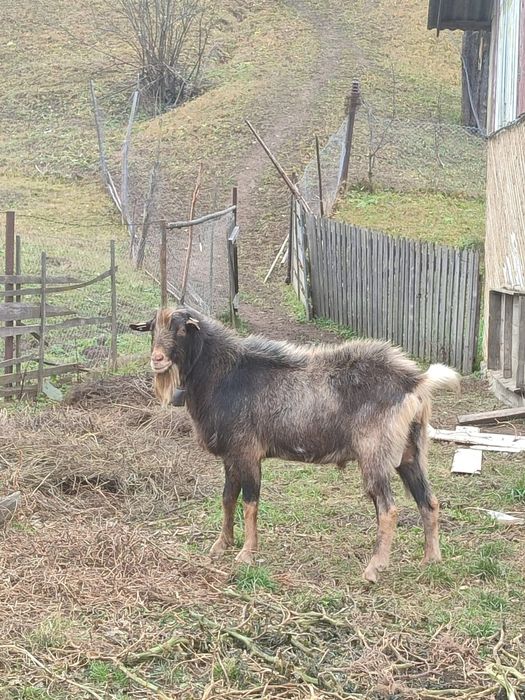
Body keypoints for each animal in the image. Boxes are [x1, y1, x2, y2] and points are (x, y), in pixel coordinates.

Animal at [131, 307, 459, 582]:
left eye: (182, 329)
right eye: (152, 329)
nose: (157, 359)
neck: (224, 374)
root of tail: (415, 382)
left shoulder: (247, 451)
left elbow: (250, 503)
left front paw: (246, 553)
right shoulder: (231, 456)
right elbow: (227, 499)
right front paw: (221, 545)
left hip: (375, 455)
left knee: (388, 509)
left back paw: (374, 568)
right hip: (410, 453)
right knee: (428, 501)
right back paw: (431, 559)